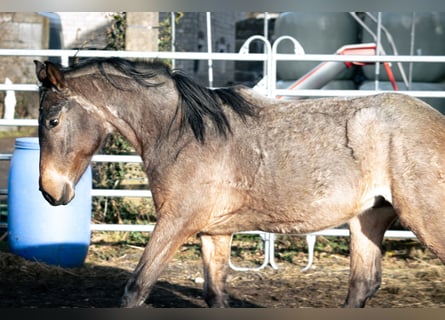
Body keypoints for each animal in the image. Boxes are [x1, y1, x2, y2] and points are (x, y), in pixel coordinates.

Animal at [35, 57, 444, 308]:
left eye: (52, 120)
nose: (50, 192)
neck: (183, 132)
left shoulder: (176, 222)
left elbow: (137, 287)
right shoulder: (214, 232)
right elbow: (215, 293)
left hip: (424, 220)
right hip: (368, 219)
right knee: (362, 286)